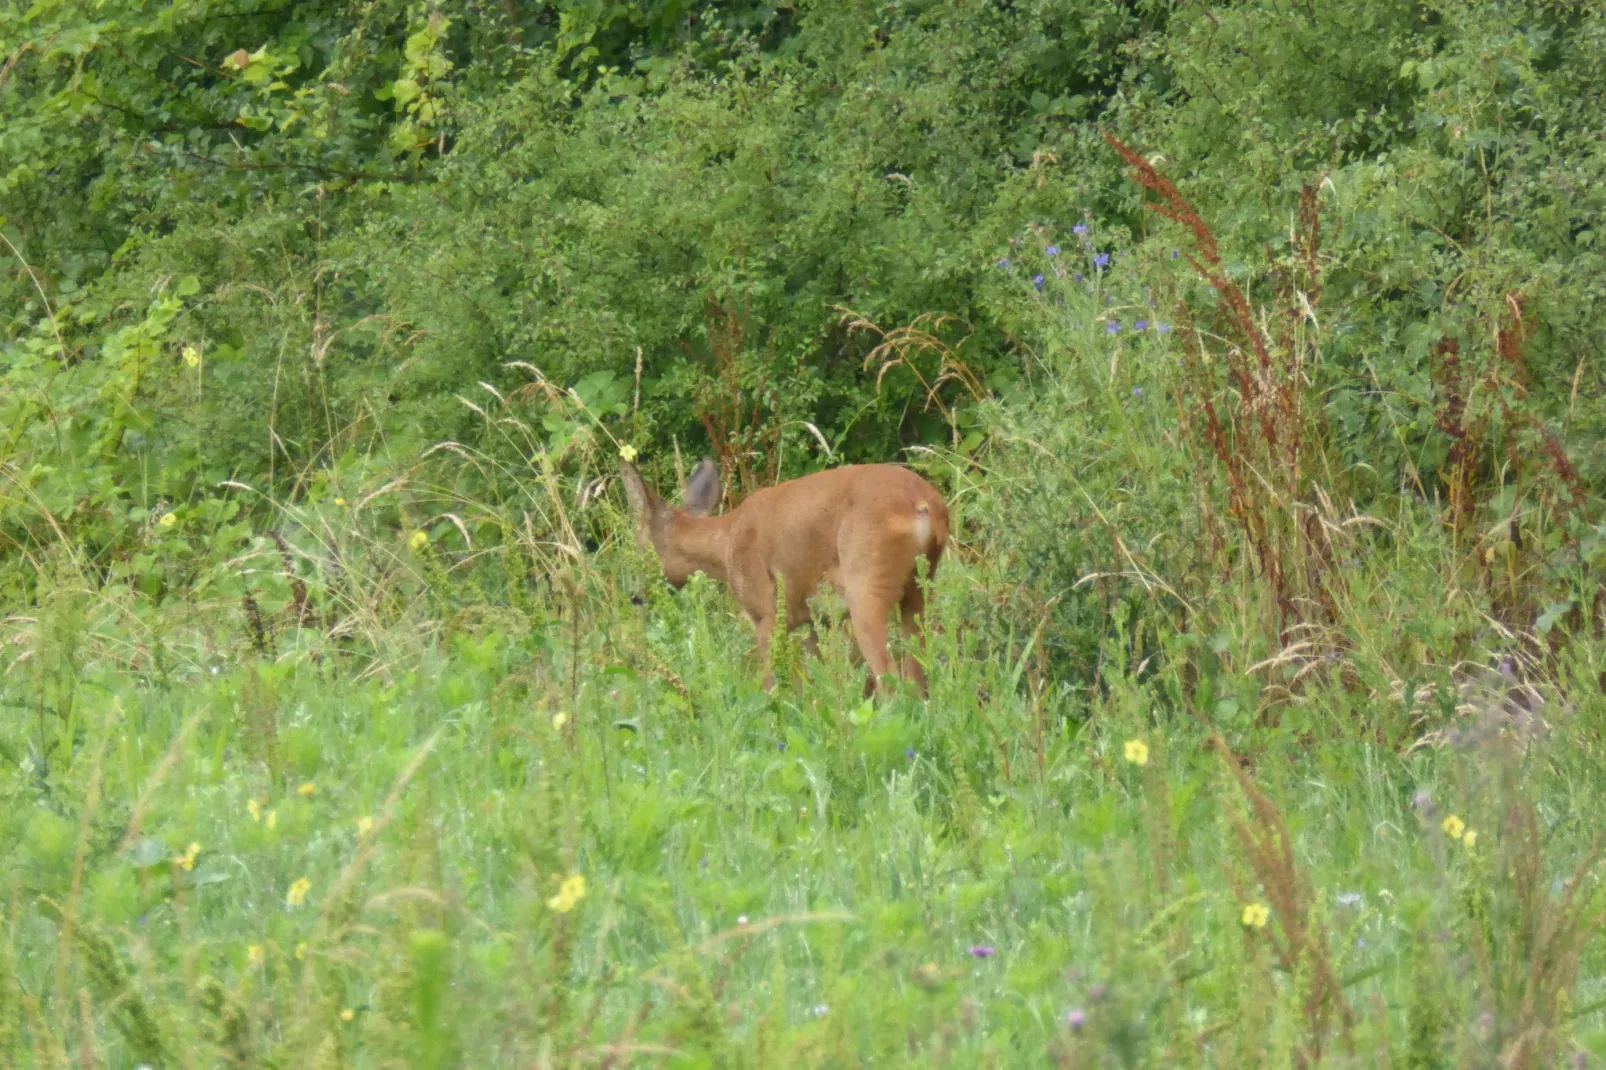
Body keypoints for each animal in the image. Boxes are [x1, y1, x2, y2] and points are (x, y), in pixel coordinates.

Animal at [616, 456, 944, 690]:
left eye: (638, 548)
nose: (634, 597)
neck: (726, 543)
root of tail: (924, 505)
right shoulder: (813, 619)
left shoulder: (766, 613)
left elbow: (774, 684)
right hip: (917, 591)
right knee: (916, 674)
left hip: (865, 587)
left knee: (889, 678)